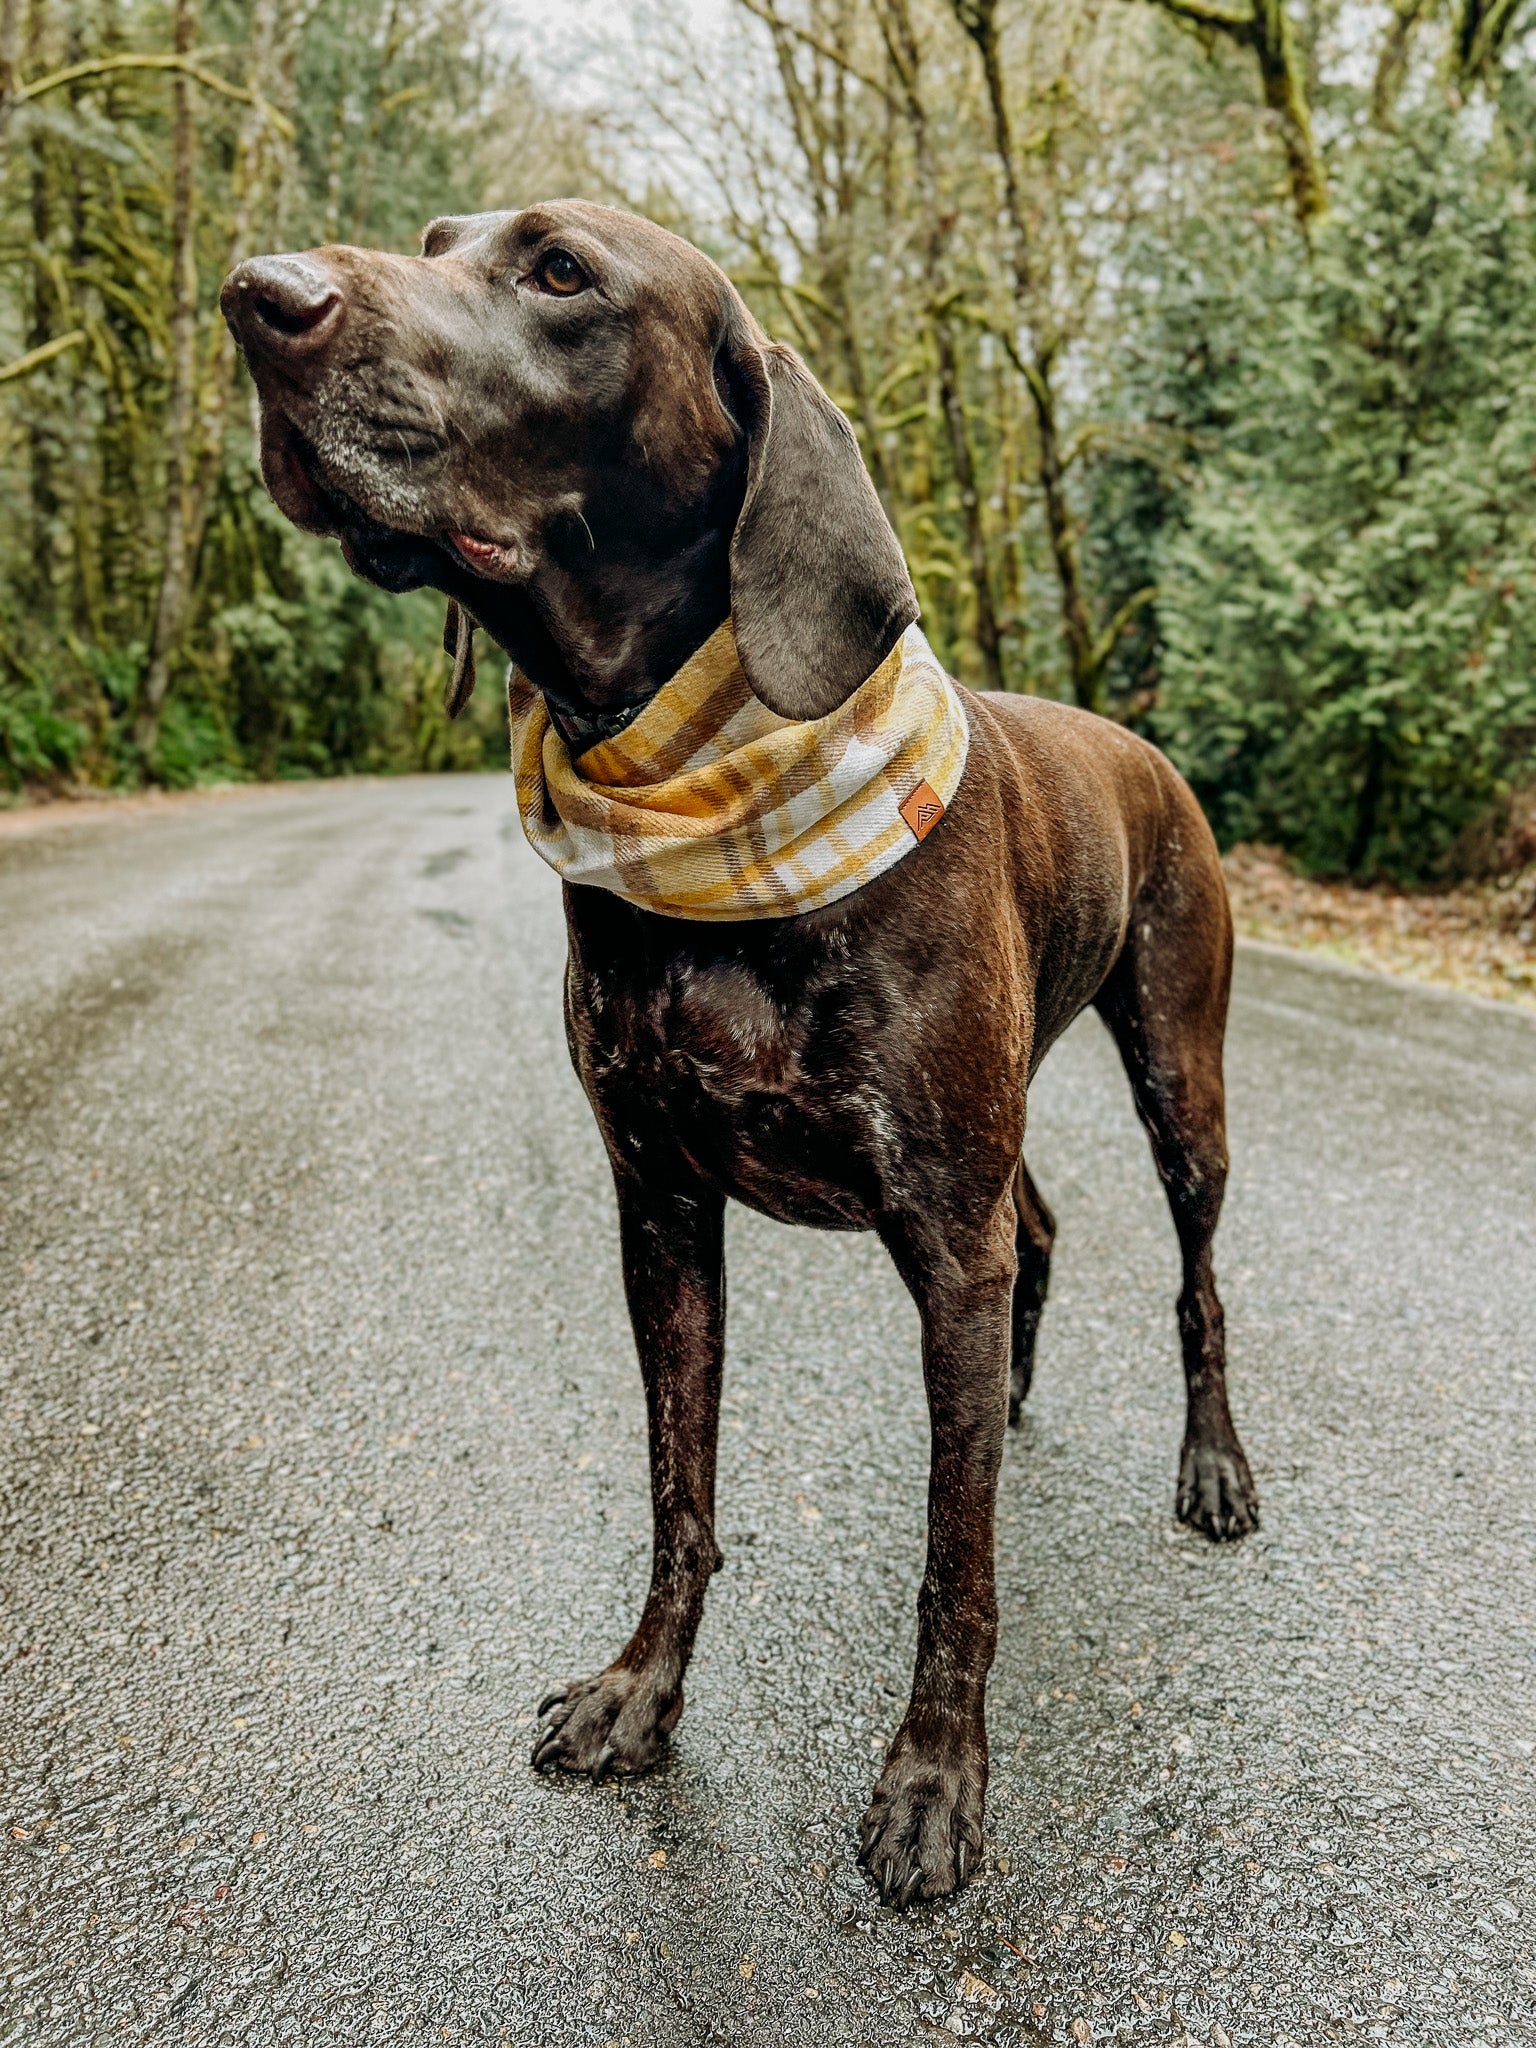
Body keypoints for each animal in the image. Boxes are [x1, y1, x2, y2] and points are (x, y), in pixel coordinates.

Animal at [222, 199, 1253, 1908]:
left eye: (560, 271)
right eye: (436, 238)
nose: (257, 296)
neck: (697, 771)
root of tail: (1142, 744)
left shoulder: (937, 1228)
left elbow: (955, 1561)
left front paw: (935, 1780)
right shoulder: (663, 1206)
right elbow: (680, 1489)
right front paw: (645, 1690)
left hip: (1182, 1077)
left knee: (1198, 1283)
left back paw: (1215, 1466)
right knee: (1040, 1235)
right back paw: (1012, 1392)